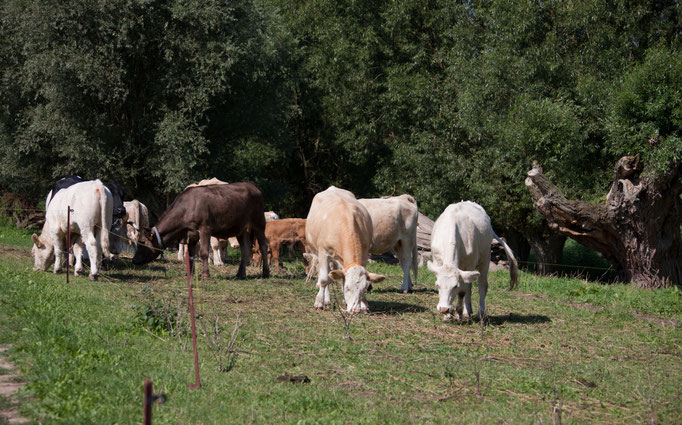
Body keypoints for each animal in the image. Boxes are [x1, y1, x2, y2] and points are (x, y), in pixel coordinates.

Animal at [133, 182, 269, 279]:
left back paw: (266, 272)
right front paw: (190, 273)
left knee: (263, 245)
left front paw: (205, 275)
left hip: (259, 223)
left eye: (142, 242)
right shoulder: (190, 233)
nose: (134, 260)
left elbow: (204, 252)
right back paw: (240, 274)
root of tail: (251, 185)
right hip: (241, 229)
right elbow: (191, 253)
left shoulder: (205, 229)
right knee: (245, 249)